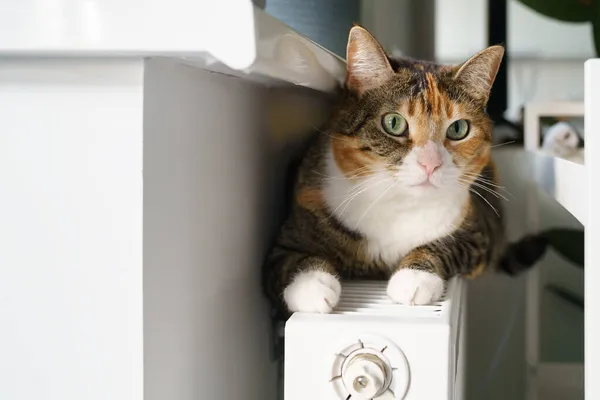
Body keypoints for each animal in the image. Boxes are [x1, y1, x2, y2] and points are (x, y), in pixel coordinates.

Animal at [262, 26, 544, 318]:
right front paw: (312, 287)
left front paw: (415, 278)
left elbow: (445, 244)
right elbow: (290, 259)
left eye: (458, 129)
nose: (430, 163)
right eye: (394, 123)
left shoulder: (478, 233)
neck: (398, 203)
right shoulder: (296, 222)